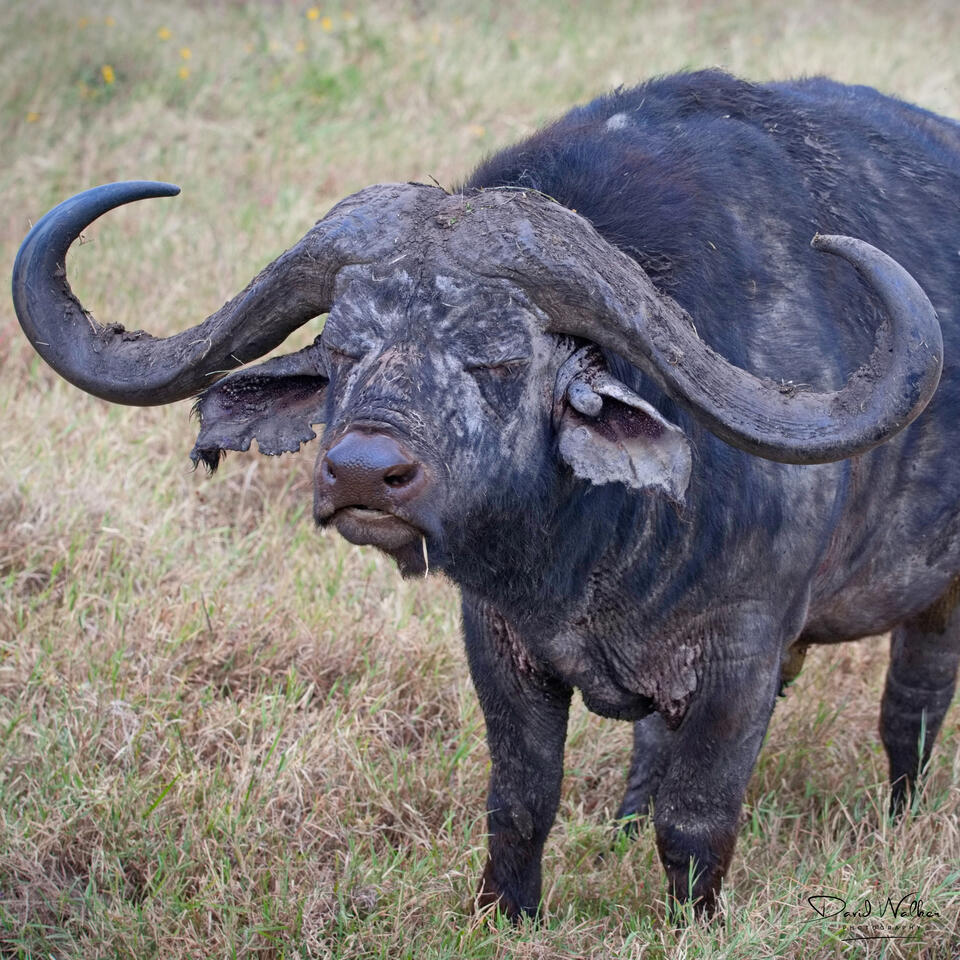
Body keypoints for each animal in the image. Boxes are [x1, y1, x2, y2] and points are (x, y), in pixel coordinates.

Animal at [12, 70, 960, 918]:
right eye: (344, 348)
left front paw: (689, 922)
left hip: (935, 603)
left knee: (910, 710)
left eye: (497, 359)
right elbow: (521, 799)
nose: (364, 473)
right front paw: (507, 912)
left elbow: (696, 822)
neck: (594, 553)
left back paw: (898, 819)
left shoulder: (744, 655)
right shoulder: (497, 640)